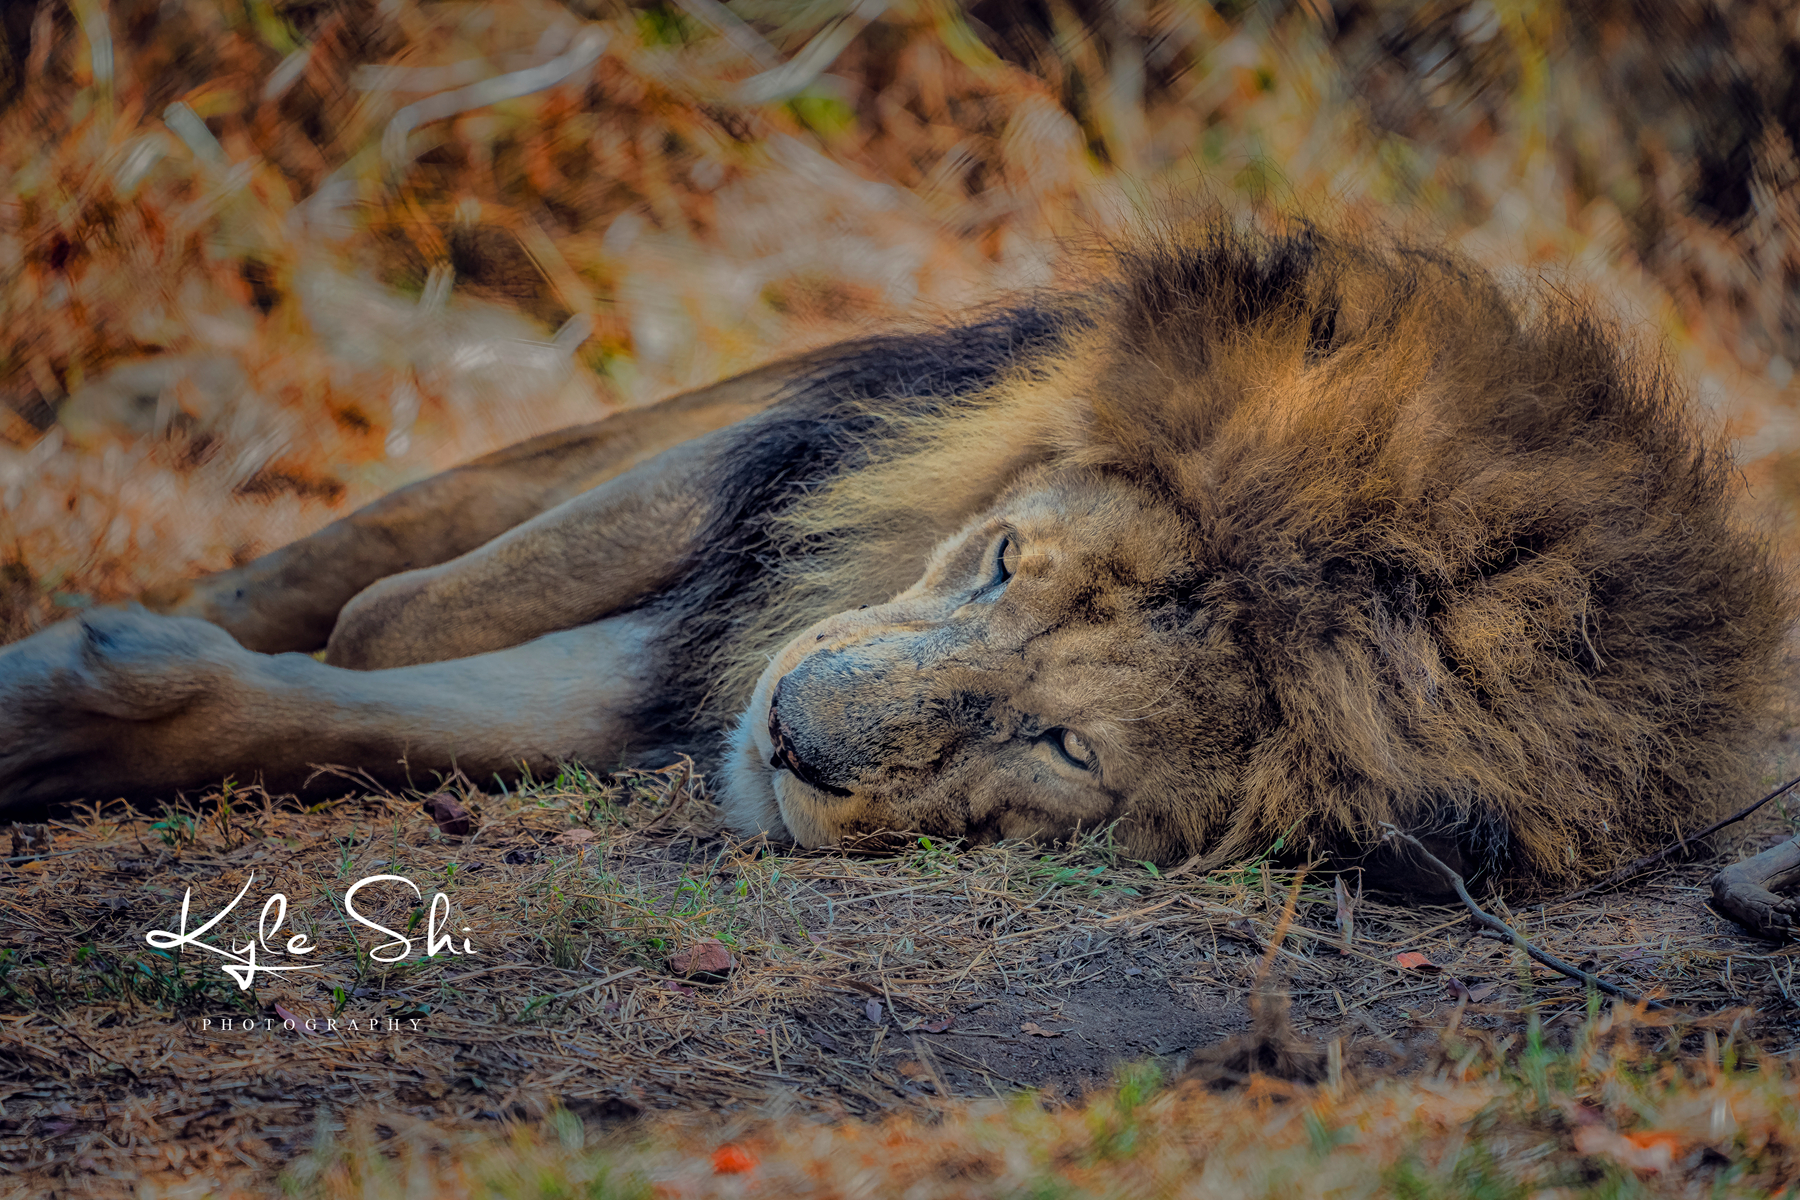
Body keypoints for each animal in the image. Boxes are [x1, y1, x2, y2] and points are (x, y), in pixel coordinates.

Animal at [3, 223, 1800, 928]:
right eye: (1005, 564)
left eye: (1063, 748)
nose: (796, 743)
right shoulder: (796, 484)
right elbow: (398, 608)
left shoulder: (722, 655)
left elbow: (395, 709)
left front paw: (74, 717)